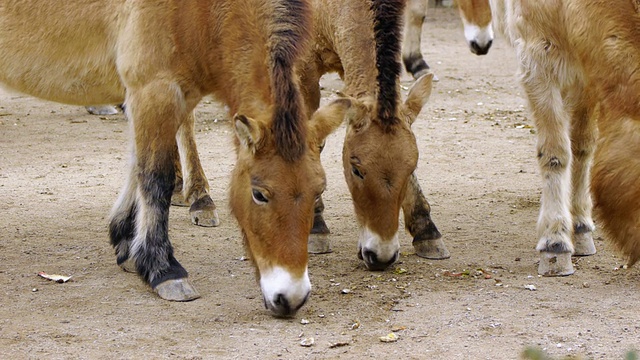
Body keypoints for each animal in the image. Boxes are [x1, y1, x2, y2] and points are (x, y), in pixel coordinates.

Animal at [0, 0, 344, 316]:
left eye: (319, 191)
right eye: (259, 194)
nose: (291, 297)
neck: (199, 11)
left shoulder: (165, 97)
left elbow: (137, 167)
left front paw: (126, 244)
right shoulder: (155, 90)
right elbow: (156, 178)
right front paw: (163, 268)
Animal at [490, 0, 640, 272]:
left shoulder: (587, 74)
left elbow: (583, 147)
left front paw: (581, 229)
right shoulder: (538, 63)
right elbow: (555, 154)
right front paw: (555, 243)